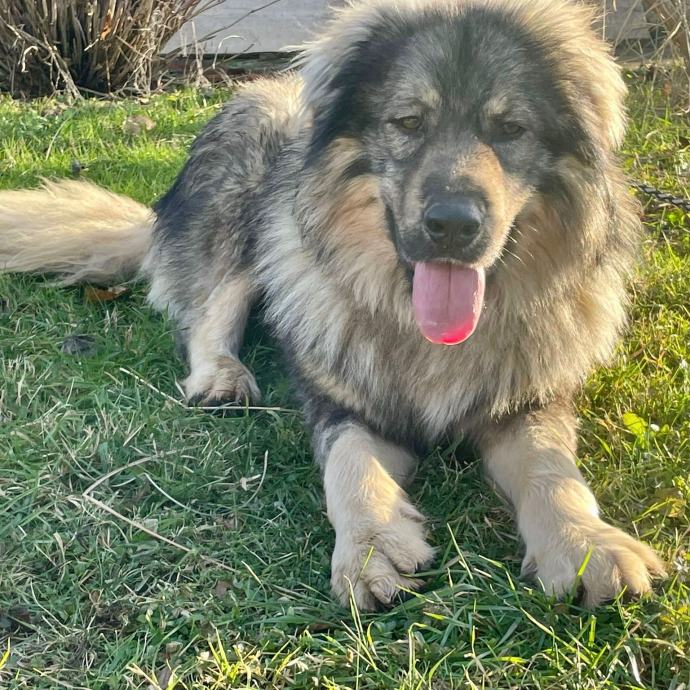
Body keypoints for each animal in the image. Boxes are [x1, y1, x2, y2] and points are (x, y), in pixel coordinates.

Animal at [0, 0, 666, 610]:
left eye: (510, 129)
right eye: (408, 122)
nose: (452, 225)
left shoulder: (527, 401)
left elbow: (553, 469)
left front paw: (586, 542)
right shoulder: (342, 406)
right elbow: (351, 466)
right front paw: (371, 545)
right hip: (250, 206)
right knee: (210, 312)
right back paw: (222, 376)